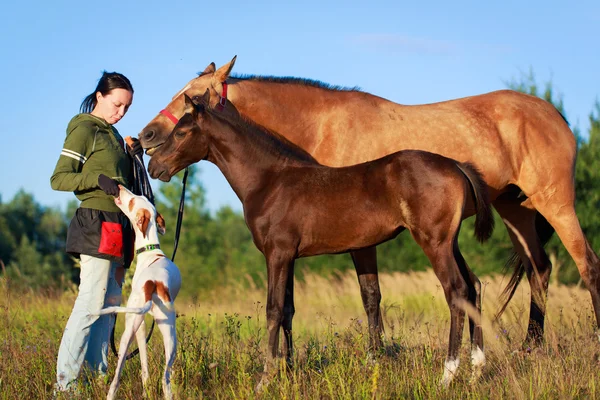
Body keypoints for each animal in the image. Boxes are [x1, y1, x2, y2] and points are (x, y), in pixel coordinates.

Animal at [94, 187, 180, 400]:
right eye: (139, 196)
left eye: (133, 201)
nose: (120, 188)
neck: (150, 251)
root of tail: (152, 284)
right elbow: (146, 370)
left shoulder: (140, 328)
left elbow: (143, 364)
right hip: (170, 336)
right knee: (166, 377)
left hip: (128, 330)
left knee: (116, 377)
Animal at [148, 92, 494, 386]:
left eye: (181, 132)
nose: (154, 166)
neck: (269, 180)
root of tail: (456, 165)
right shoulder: (288, 256)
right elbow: (288, 310)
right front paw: (287, 372)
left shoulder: (276, 254)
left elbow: (273, 309)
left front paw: (265, 378)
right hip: (451, 243)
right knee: (474, 286)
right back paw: (476, 370)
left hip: (434, 242)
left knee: (456, 291)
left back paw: (448, 375)